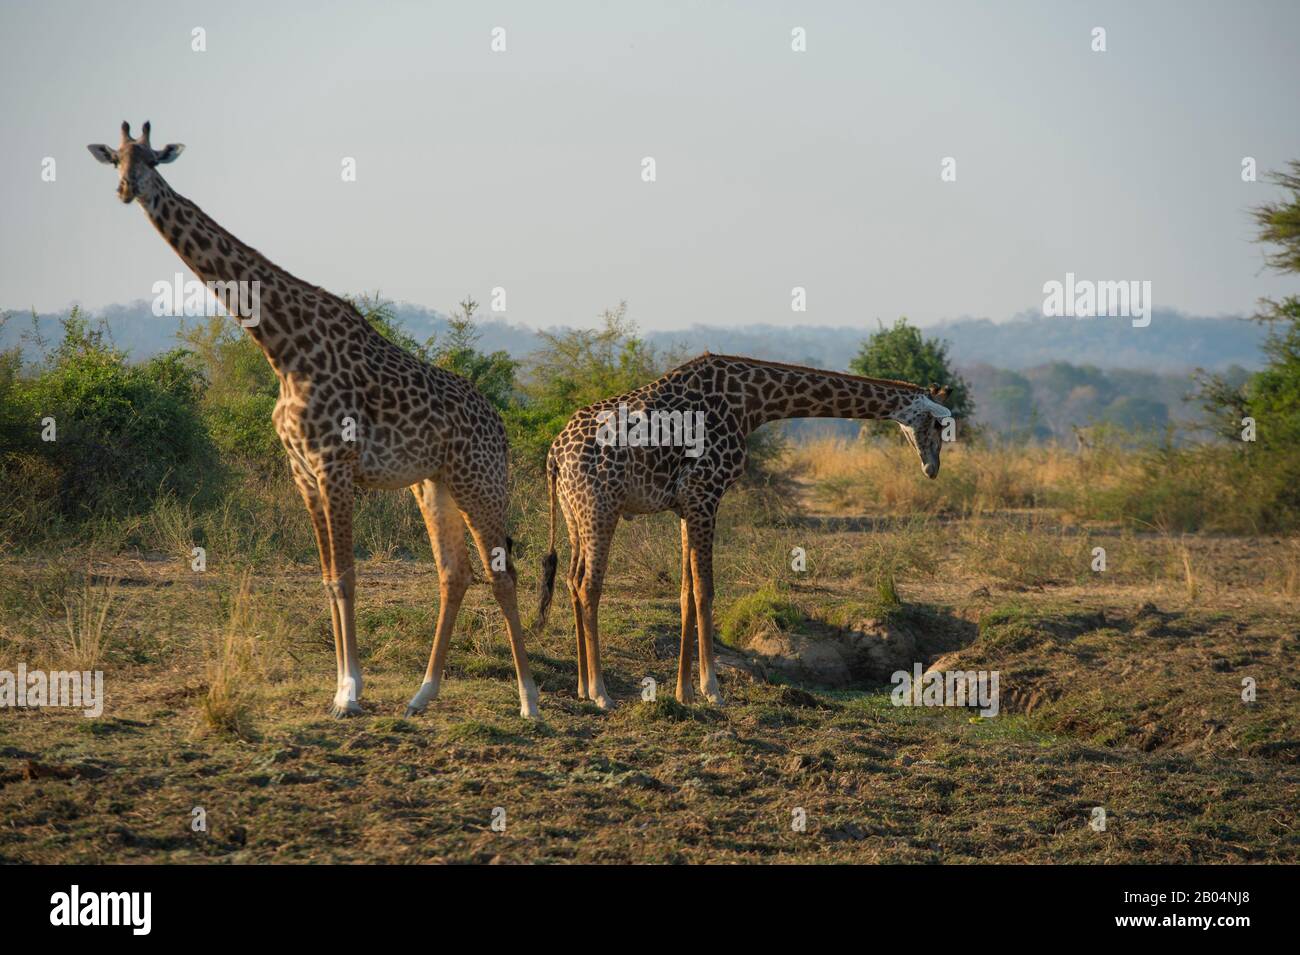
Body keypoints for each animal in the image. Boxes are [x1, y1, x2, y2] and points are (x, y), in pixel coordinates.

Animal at [88, 122, 539, 719]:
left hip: (479, 479)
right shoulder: (302, 471)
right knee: (455, 573)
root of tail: (501, 427)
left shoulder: (335, 465)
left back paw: (529, 700)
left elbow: (347, 577)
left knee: (501, 573)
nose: (126, 190)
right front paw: (342, 687)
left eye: (152, 159)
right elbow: (327, 578)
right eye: (116, 159)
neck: (281, 347)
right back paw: (422, 694)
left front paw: (350, 692)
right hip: (433, 485)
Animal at [535, 353, 952, 709]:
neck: (752, 404)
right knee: (589, 585)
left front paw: (685, 692)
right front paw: (712, 690)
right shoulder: (705, 492)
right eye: (938, 423)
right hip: (601, 508)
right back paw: (601, 692)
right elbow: (705, 590)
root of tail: (554, 455)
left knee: (571, 580)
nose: (932, 468)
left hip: (574, 513)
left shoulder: (686, 504)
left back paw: (581, 687)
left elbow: (685, 592)